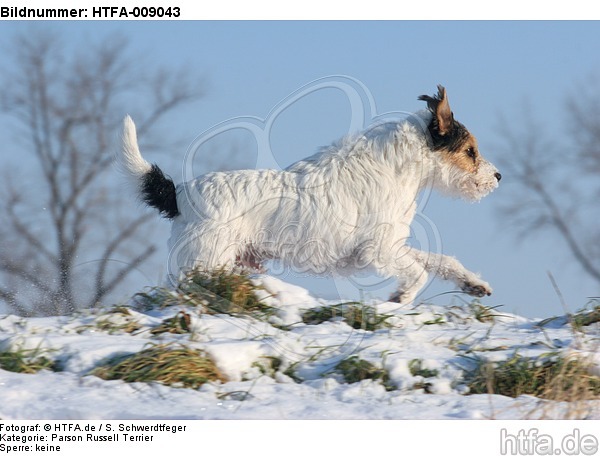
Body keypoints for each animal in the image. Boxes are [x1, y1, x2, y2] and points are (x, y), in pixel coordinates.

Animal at [117, 87, 502, 304]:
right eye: (470, 151)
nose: (497, 176)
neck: (395, 167)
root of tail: (180, 193)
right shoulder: (378, 251)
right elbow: (418, 274)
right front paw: (401, 297)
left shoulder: (392, 245)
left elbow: (440, 261)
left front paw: (472, 284)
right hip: (204, 263)